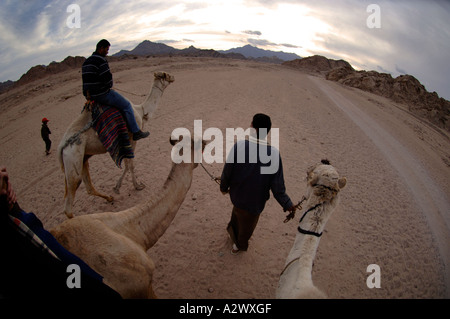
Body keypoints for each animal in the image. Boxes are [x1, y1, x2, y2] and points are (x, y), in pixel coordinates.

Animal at [58, 71, 174, 219]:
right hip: (73, 157)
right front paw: (136, 186)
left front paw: (117, 188)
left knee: (88, 187)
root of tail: (62, 146)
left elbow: (127, 164)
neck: (141, 110)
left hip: (82, 159)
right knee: (69, 203)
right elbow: (130, 164)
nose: (173, 77)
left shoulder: (123, 142)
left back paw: (109, 198)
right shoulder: (131, 138)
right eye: (166, 75)